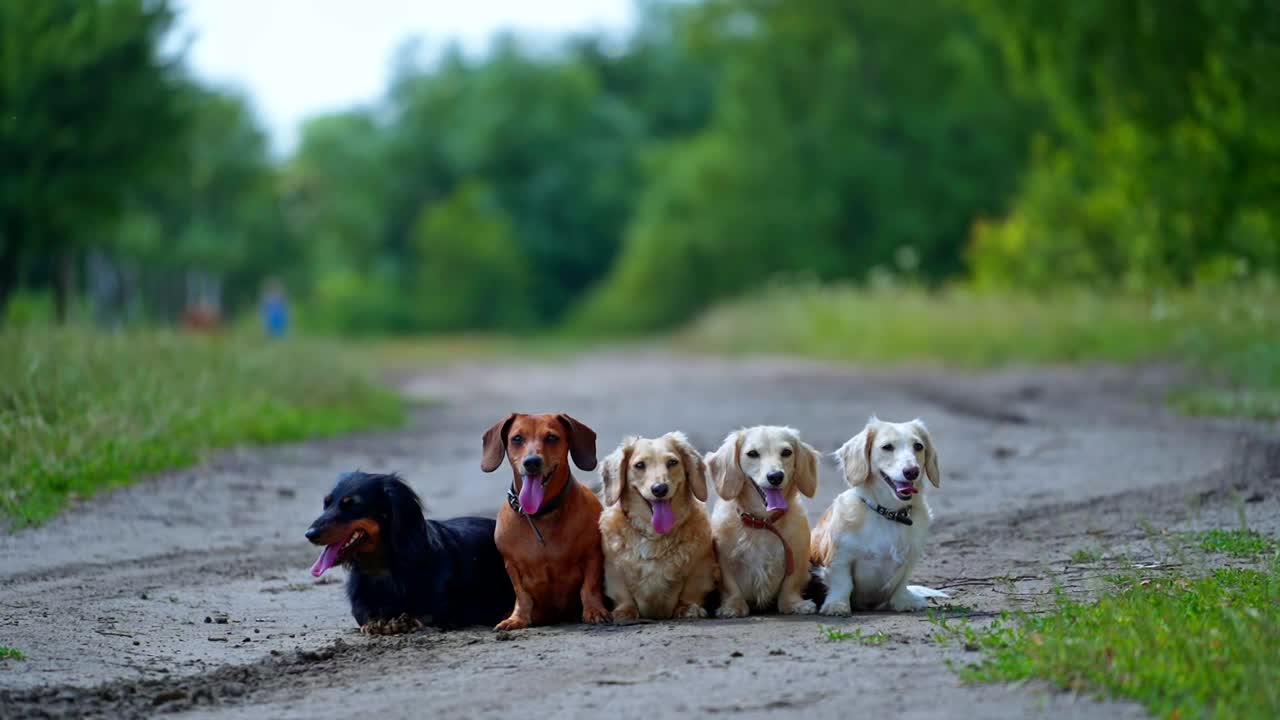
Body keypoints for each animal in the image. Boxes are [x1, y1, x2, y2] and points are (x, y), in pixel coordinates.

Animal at [599, 427, 721, 620]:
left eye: (672, 462)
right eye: (639, 465)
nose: (659, 489)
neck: (654, 535)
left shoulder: (701, 567)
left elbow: (691, 591)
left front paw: (688, 608)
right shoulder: (613, 570)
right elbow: (623, 594)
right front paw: (625, 611)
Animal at [711, 422, 819, 614]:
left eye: (786, 452)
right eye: (752, 453)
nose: (776, 476)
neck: (762, 522)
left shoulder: (797, 556)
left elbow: (791, 584)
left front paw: (793, 604)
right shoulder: (724, 559)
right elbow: (731, 586)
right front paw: (733, 605)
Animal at [814, 415, 947, 609]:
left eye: (918, 446)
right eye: (887, 447)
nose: (912, 471)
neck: (888, 514)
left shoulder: (911, 558)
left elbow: (901, 584)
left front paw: (904, 601)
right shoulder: (840, 557)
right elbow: (843, 584)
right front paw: (837, 605)